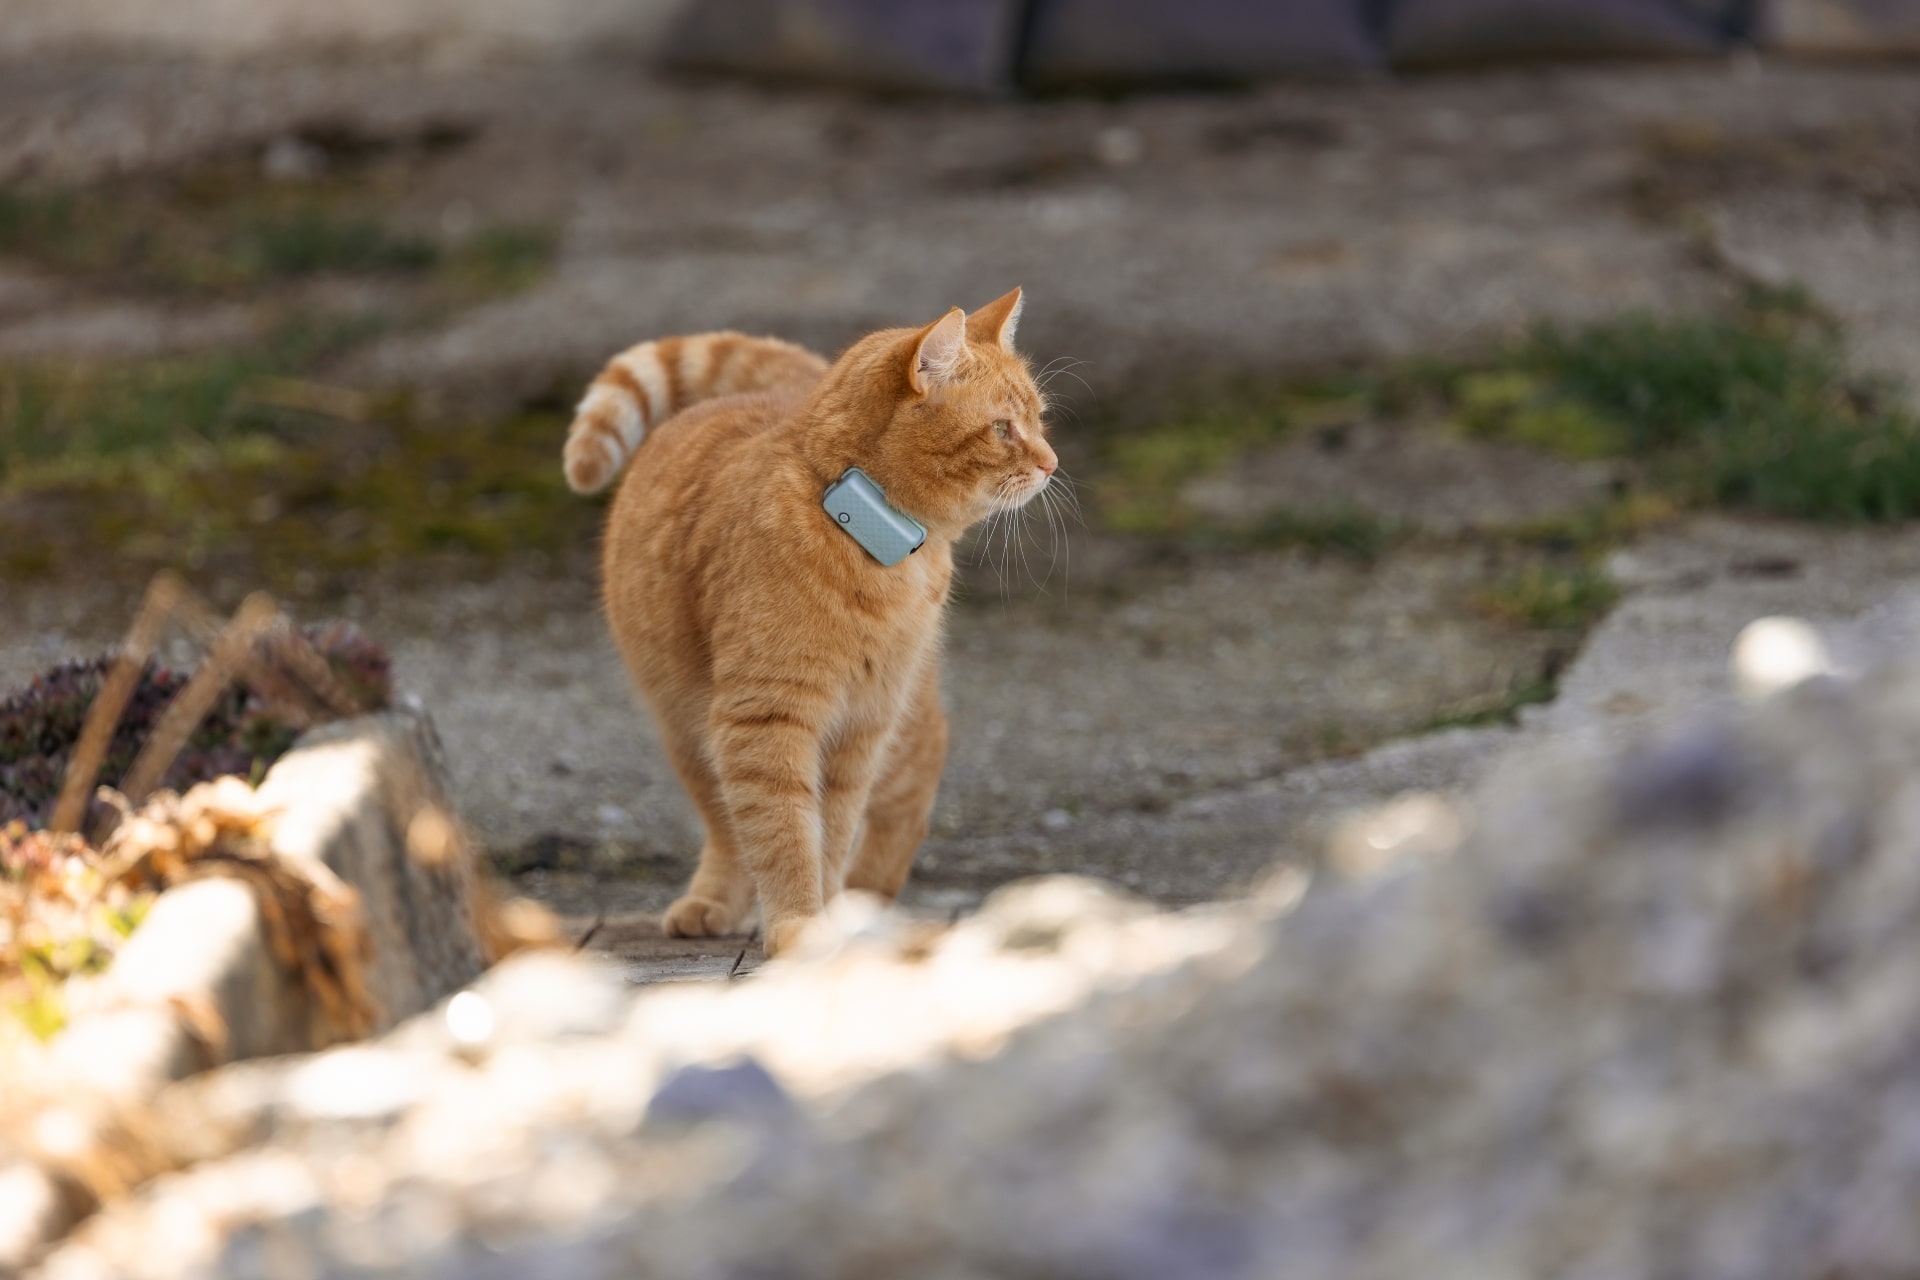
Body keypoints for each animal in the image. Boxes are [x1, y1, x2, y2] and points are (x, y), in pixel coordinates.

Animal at [560, 287, 1059, 951]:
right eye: (1004, 428)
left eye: (1039, 419)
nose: (1052, 463)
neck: (864, 536)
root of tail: (781, 393)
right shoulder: (764, 721)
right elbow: (784, 835)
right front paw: (800, 923)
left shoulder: (860, 729)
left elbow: (830, 833)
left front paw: (826, 918)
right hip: (687, 728)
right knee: (726, 827)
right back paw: (713, 902)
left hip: (891, 721)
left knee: (910, 794)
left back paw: (864, 899)